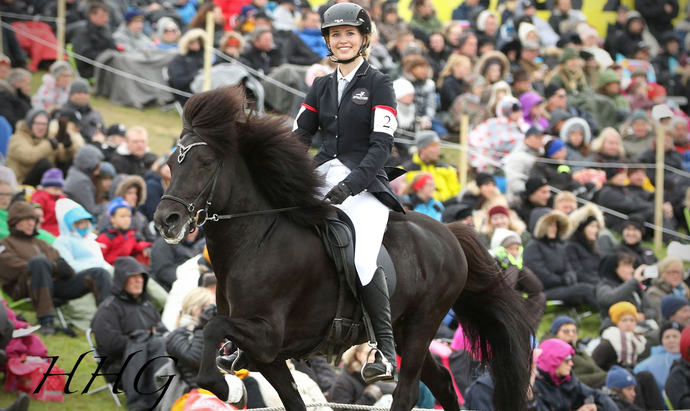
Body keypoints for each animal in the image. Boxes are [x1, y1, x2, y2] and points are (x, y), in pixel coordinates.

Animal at [153, 87, 536, 411]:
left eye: (205, 163)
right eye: (171, 164)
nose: (165, 220)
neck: (256, 242)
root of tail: (449, 233)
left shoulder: (267, 336)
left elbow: (213, 328)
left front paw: (231, 388)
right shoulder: (268, 356)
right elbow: (290, 400)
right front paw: (234, 388)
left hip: (422, 324)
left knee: (408, 391)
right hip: (403, 328)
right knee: (441, 382)